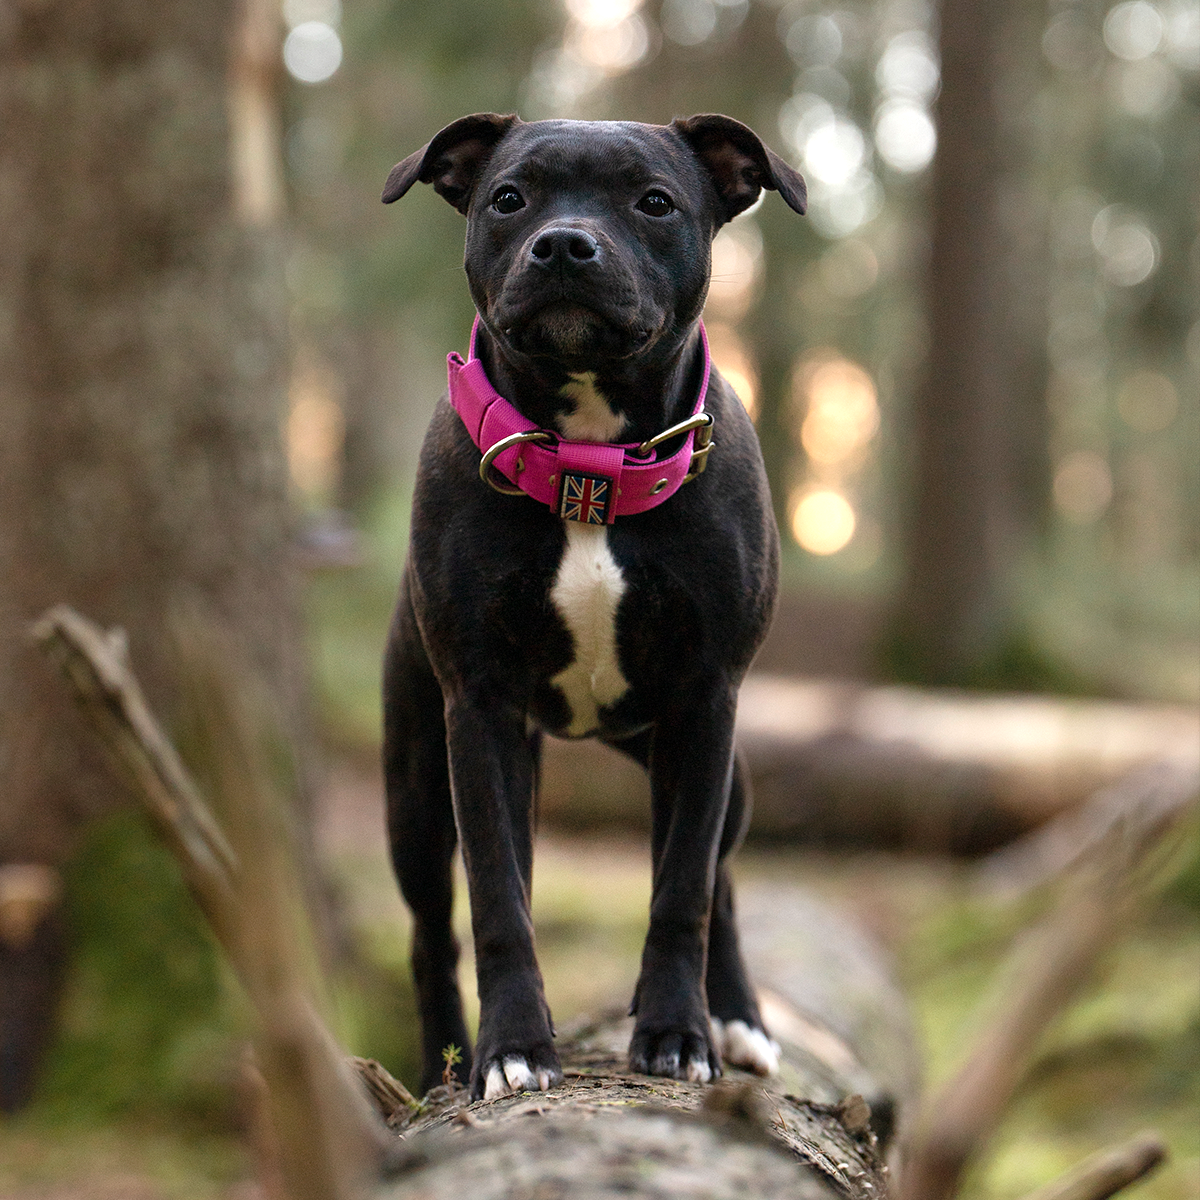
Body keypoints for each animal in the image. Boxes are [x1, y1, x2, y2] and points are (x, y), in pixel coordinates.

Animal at [379, 112, 801, 1099]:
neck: (589, 461)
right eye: (508, 197)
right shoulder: (479, 711)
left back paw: (737, 1018)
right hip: (417, 791)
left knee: (720, 880)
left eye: (655, 201)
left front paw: (678, 1033)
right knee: (430, 933)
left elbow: (683, 889)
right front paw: (512, 1048)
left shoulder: (707, 703)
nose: (565, 244)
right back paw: (442, 1062)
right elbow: (500, 899)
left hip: (719, 769)